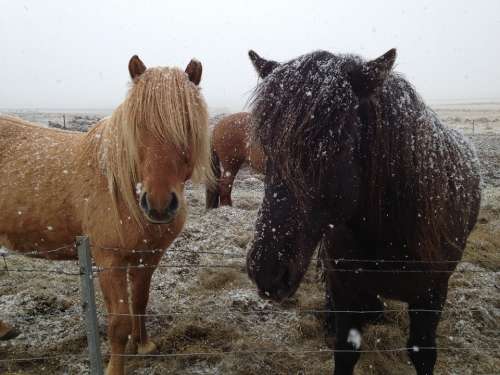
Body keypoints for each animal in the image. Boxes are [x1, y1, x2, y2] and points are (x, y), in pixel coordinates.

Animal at [0, 55, 211, 375]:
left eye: (186, 124)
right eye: (137, 126)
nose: (159, 205)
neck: (123, 190)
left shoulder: (147, 257)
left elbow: (140, 302)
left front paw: (144, 345)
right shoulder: (109, 261)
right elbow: (118, 323)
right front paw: (116, 367)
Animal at [246, 50, 480, 375]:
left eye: (333, 147)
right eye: (267, 148)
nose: (266, 272)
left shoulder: (431, 296)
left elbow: (423, 354)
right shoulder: (346, 288)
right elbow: (345, 350)